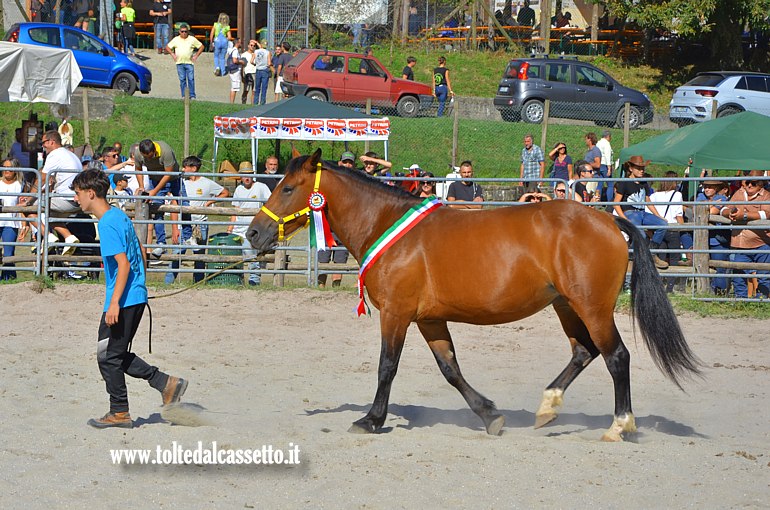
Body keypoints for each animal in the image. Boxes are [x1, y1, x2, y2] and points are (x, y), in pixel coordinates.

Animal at [246, 149, 701, 441]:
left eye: (287, 188)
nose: (253, 233)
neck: (388, 226)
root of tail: (608, 221)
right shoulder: (429, 318)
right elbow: (450, 369)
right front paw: (490, 416)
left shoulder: (396, 313)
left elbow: (386, 367)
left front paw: (372, 419)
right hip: (566, 306)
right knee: (583, 352)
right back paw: (547, 409)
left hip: (592, 307)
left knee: (616, 357)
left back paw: (618, 426)